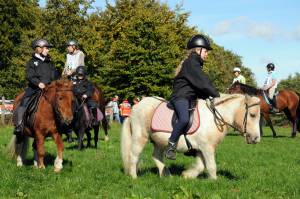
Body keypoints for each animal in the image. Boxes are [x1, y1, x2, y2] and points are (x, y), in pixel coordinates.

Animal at [120, 94, 262, 180]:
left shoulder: (200, 149)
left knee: (156, 156)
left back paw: (166, 175)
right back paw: (134, 177)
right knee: (134, 156)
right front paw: (214, 181)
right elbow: (211, 166)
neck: (214, 118)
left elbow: (201, 166)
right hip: (140, 137)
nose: (256, 139)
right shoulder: (207, 148)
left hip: (159, 141)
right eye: (253, 115)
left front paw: (187, 175)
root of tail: (135, 107)